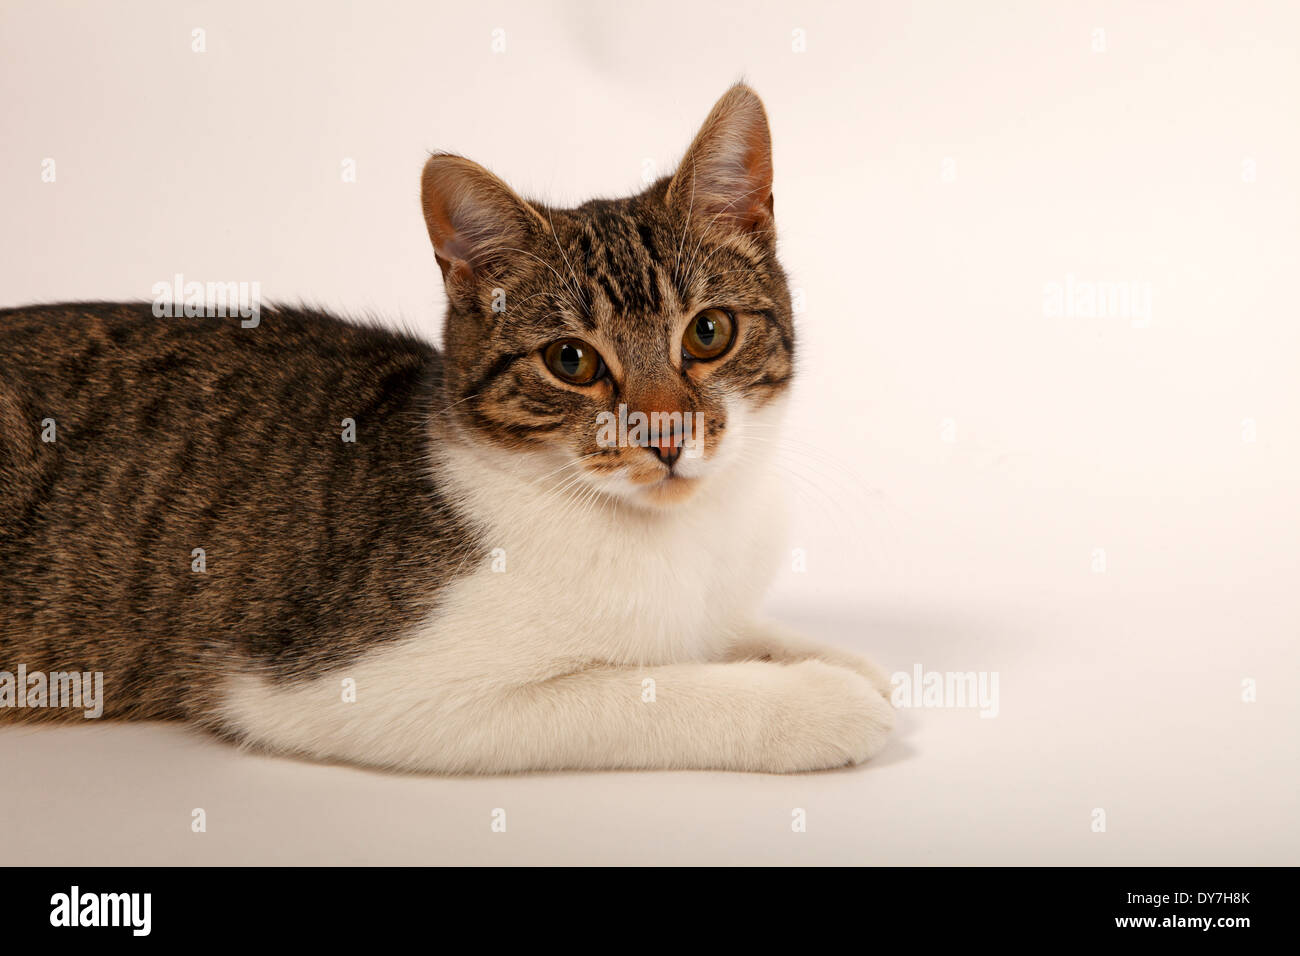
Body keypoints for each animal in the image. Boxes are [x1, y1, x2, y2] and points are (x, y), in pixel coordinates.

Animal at [0, 85, 894, 775]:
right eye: (571, 360)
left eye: (708, 333)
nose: (667, 435)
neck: (675, 535)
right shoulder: (356, 688)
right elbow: (639, 690)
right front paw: (819, 701)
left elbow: (730, 631)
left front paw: (840, 658)